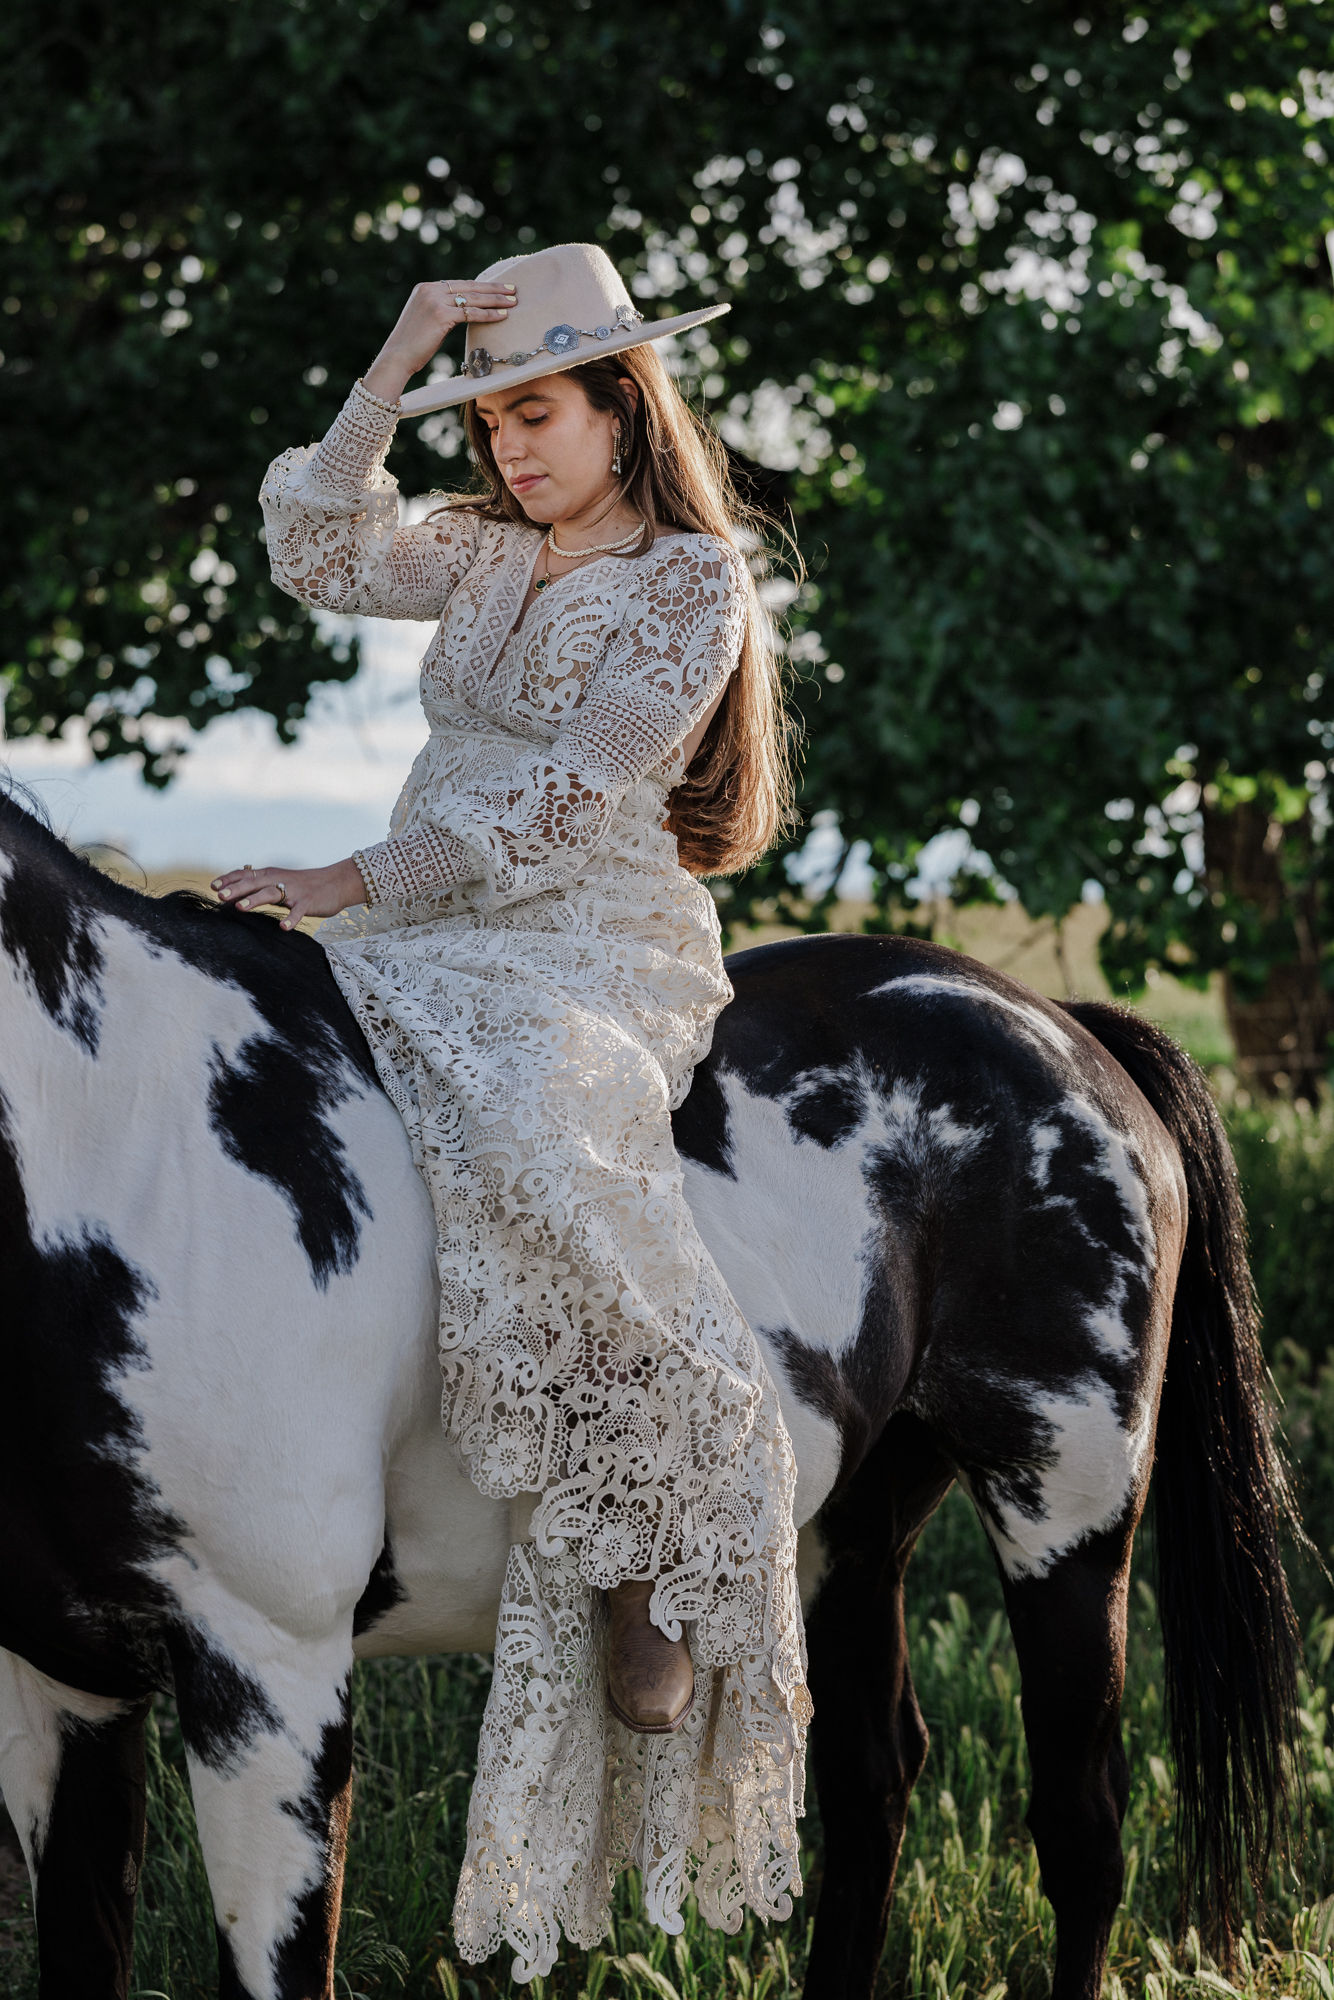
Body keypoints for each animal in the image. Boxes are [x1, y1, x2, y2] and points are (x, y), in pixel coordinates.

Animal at [0, 792, 1296, 2000]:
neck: (139, 1140)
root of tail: (1061, 1028)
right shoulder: (70, 1686)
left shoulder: (270, 1678)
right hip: (852, 1524)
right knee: (872, 1782)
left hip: (1068, 1512)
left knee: (1080, 1826)